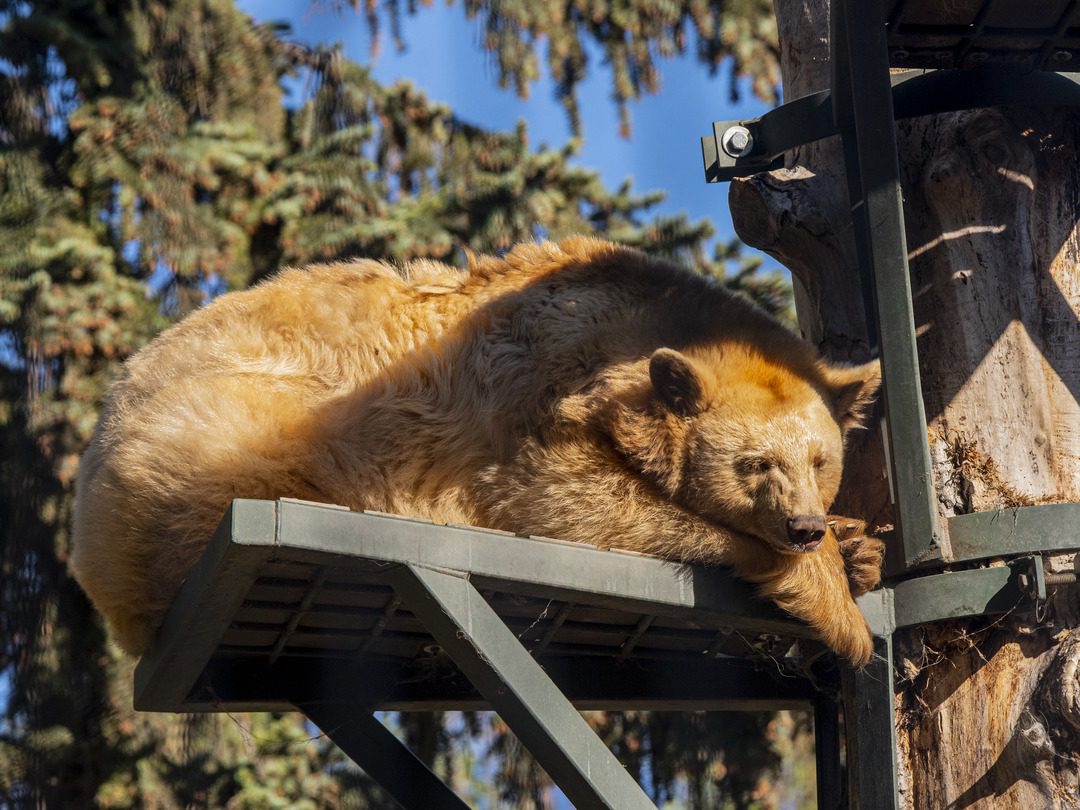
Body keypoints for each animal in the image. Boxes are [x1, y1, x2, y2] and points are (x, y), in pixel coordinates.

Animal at [70, 237, 884, 665]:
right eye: (756, 464)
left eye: (819, 462)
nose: (803, 526)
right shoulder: (522, 399)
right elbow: (569, 502)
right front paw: (833, 596)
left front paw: (860, 545)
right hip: (230, 427)